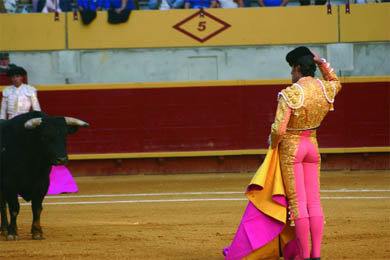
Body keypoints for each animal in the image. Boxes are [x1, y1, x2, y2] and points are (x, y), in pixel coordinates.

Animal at [0, 110, 88, 241]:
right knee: (3, 205)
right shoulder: (10, 183)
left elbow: (37, 207)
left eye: (65, 135)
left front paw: (37, 232)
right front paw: (12, 233)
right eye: (45, 136)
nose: (61, 159)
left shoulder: (42, 183)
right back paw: (5, 229)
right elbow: (14, 208)